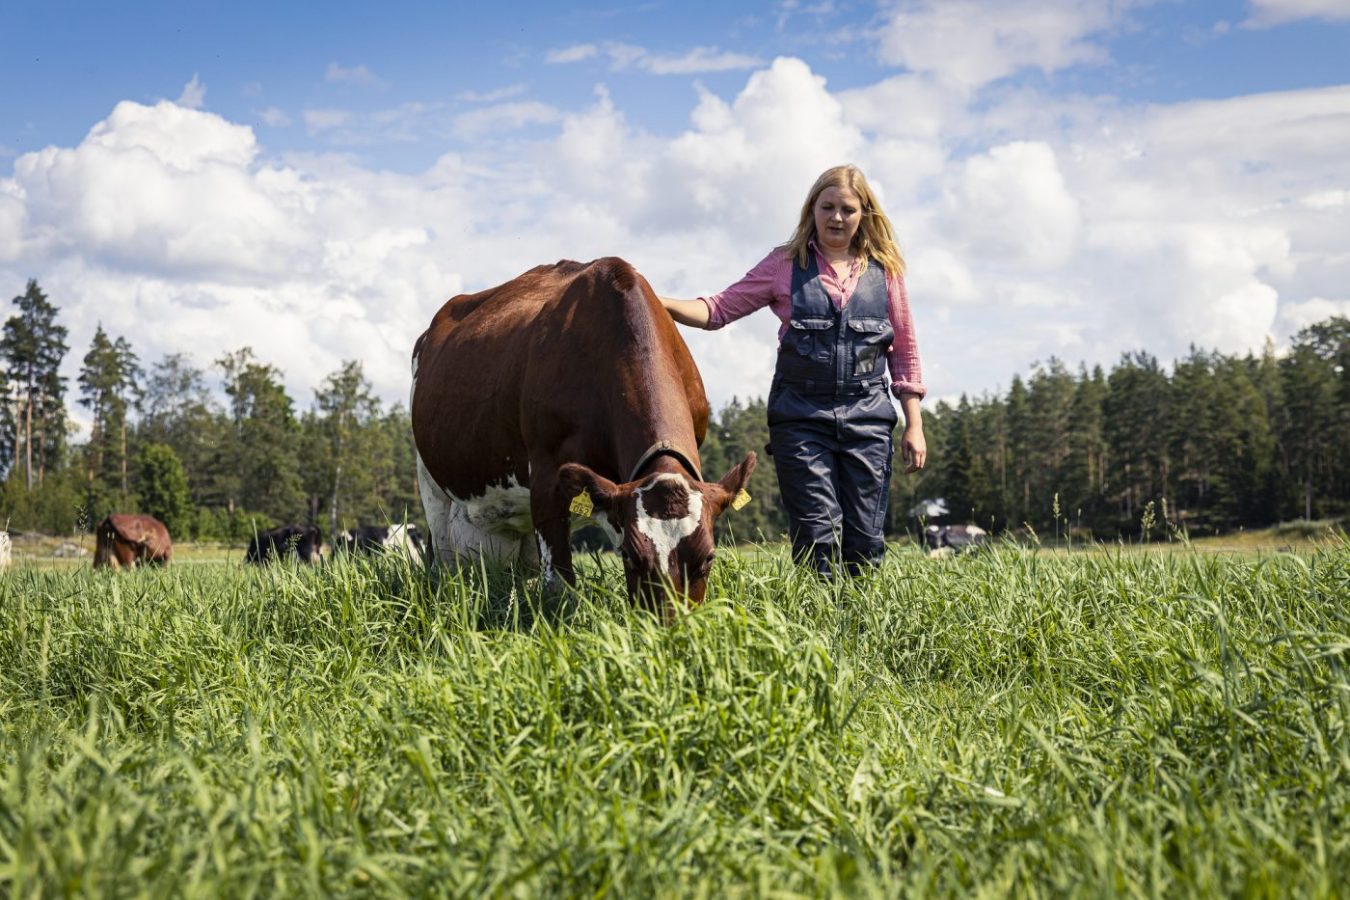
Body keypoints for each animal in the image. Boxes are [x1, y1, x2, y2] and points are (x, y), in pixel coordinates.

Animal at [407, 256, 761, 615]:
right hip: (432, 487)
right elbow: (558, 589)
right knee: (442, 562)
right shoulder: (547, 477)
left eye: (708, 558)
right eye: (631, 557)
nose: (668, 624)